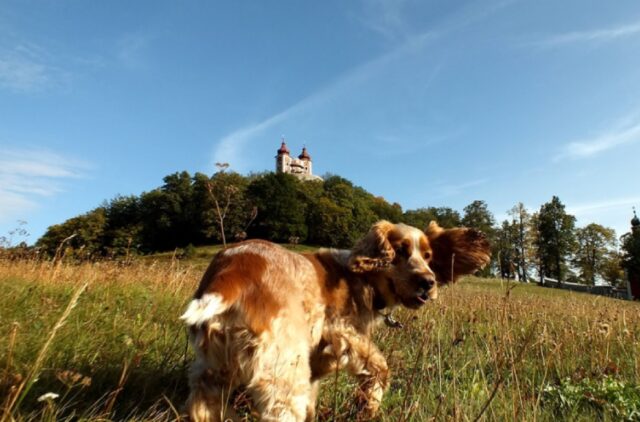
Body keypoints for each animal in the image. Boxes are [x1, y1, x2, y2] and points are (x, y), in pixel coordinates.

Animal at [180, 219, 490, 420]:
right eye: (399, 251)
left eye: (428, 256)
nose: (428, 282)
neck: (362, 279)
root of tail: (230, 271)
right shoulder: (341, 332)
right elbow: (379, 367)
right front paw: (369, 406)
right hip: (284, 370)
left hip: (213, 370)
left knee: (203, 404)